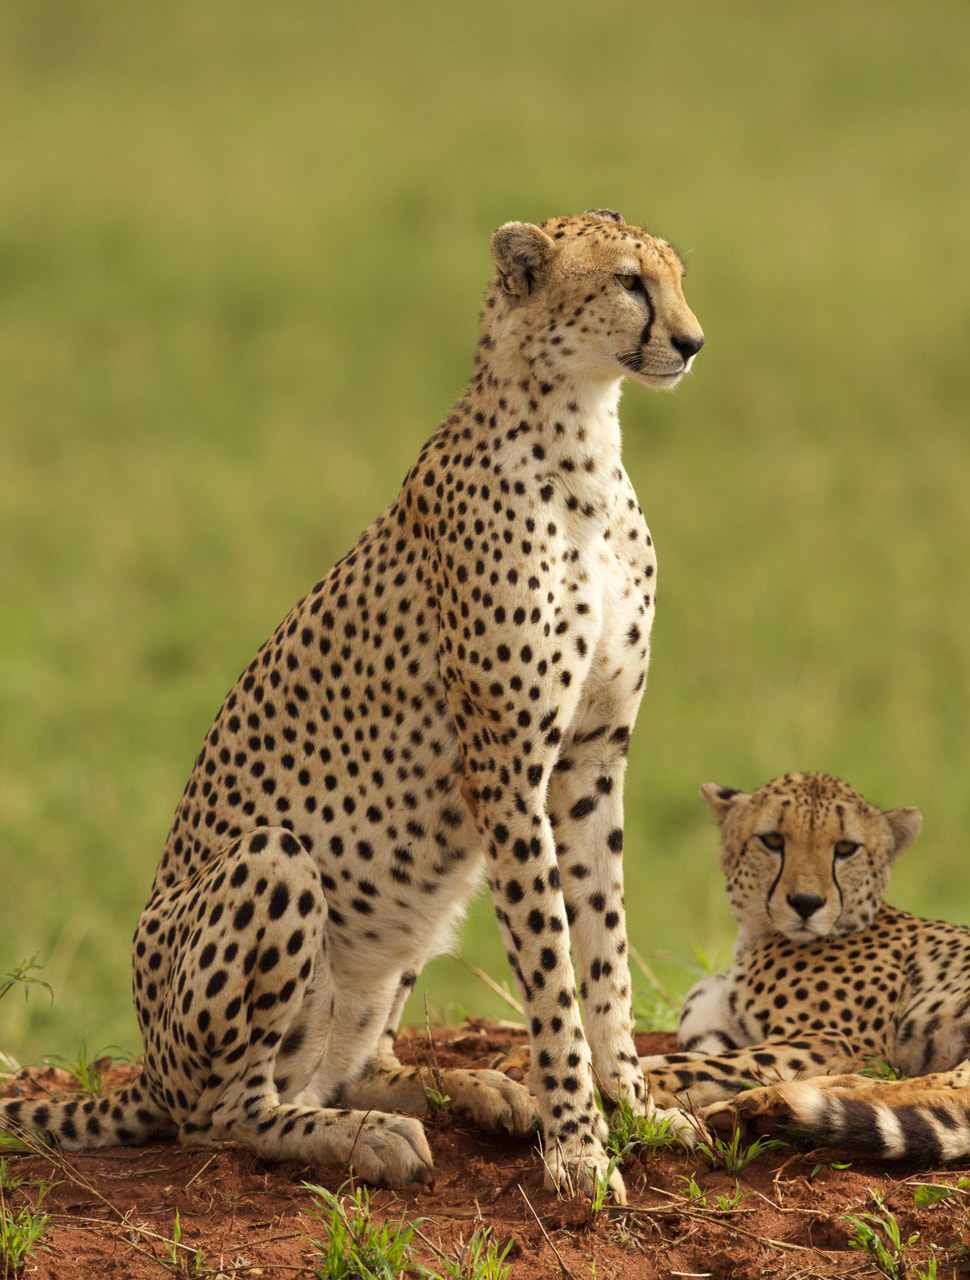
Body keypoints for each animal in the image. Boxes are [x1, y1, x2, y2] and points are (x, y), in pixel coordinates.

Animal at [0, 210, 704, 1202]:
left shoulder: (594, 758)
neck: (581, 447)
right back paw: (363, 1136)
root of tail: (148, 1070)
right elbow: (553, 971)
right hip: (276, 863)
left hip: (407, 903)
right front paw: (579, 1147)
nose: (692, 341)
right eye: (629, 282)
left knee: (353, 1064)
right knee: (226, 1117)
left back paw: (473, 1092)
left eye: (676, 277)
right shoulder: (506, 767)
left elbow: (604, 954)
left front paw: (634, 1109)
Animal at [633, 772, 970, 1163]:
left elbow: (689, 1067)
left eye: (846, 848)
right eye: (773, 839)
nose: (806, 903)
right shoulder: (727, 1037)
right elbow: (666, 1058)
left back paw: (771, 1103)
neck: (756, 935)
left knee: (939, 1089)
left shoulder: (833, 1042)